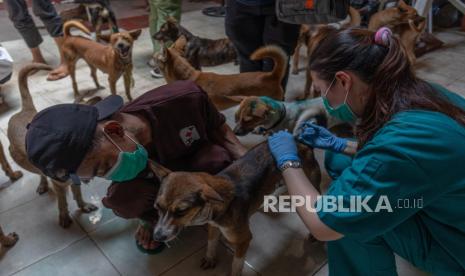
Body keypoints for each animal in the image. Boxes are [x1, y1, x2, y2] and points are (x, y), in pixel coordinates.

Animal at [7, 63, 97, 227]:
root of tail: (25, 110)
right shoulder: (59, 184)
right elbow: (63, 203)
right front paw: (65, 218)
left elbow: (78, 194)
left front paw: (83, 206)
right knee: (39, 173)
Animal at [150, 142, 320, 276]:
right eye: (157, 207)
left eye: (181, 211)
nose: (157, 237)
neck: (213, 208)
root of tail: (299, 140)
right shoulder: (213, 226)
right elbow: (211, 242)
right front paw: (210, 258)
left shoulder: (244, 240)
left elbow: (236, 264)